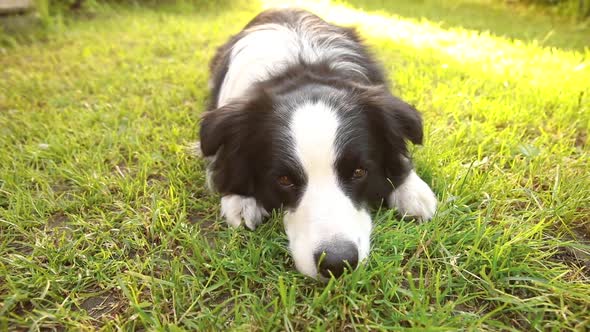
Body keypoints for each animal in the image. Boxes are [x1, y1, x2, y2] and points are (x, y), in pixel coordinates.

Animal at [201, 7, 438, 278]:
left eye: (359, 172)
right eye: (284, 179)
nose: (337, 263)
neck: (301, 69)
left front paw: (413, 191)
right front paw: (240, 200)